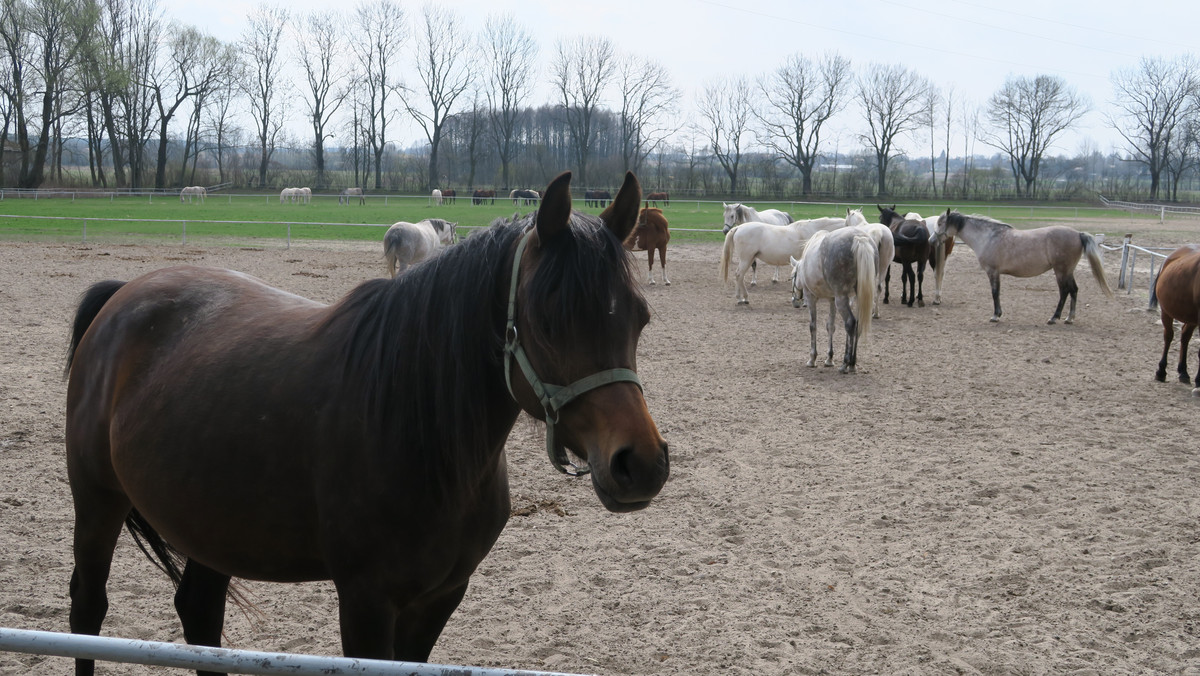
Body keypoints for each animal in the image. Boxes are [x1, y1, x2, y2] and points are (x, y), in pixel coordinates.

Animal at [60, 169, 672, 672]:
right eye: (547, 321)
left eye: (640, 317)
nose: (640, 464)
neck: (418, 425)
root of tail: (123, 296)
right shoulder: (365, 601)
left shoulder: (440, 597)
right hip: (97, 500)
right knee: (87, 611)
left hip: (208, 525)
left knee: (201, 617)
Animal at [715, 213, 849, 307]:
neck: (814, 231)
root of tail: (738, 228)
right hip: (746, 259)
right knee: (738, 275)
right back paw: (741, 298)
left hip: (749, 259)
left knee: (740, 276)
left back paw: (743, 299)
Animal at [792, 226, 878, 374]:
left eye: (793, 276)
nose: (795, 301)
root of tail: (858, 238)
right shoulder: (832, 299)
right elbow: (830, 326)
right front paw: (829, 358)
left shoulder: (811, 297)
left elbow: (813, 326)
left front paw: (812, 359)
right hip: (856, 297)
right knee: (857, 324)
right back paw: (852, 364)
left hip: (841, 298)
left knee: (850, 323)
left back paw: (846, 363)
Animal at [936, 210, 1113, 324]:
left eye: (940, 223)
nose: (932, 240)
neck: (988, 237)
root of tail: (1078, 234)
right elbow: (997, 293)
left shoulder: (993, 272)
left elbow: (995, 293)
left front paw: (995, 316)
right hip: (1068, 271)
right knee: (1074, 290)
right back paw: (1069, 318)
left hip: (1061, 271)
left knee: (1064, 292)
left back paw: (1054, 318)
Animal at [1142, 243, 1200, 393]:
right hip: (1166, 312)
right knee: (1168, 336)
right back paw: (1161, 372)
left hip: (1191, 318)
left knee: (1185, 336)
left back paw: (1183, 372)